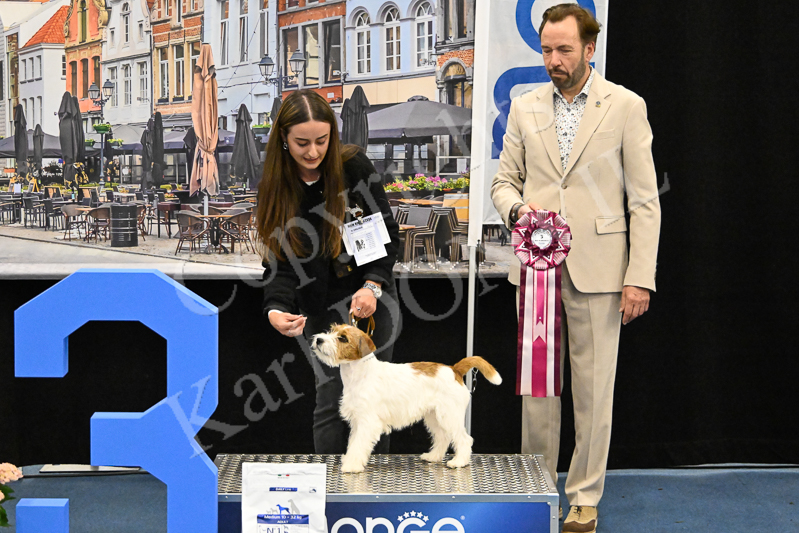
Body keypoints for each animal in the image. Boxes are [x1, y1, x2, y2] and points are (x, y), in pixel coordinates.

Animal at [311, 323, 502, 473]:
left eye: (343, 338)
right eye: (331, 330)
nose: (318, 339)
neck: (358, 374)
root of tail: (454, 369)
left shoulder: (367, 422)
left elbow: (358, 444)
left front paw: (351, 466)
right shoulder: (357, 421)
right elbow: (353, 443)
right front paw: (350, 460)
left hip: (449, 416)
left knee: (464, 439)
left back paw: (459, 462)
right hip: (434, 417)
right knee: (443, 438)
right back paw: (433, 456)